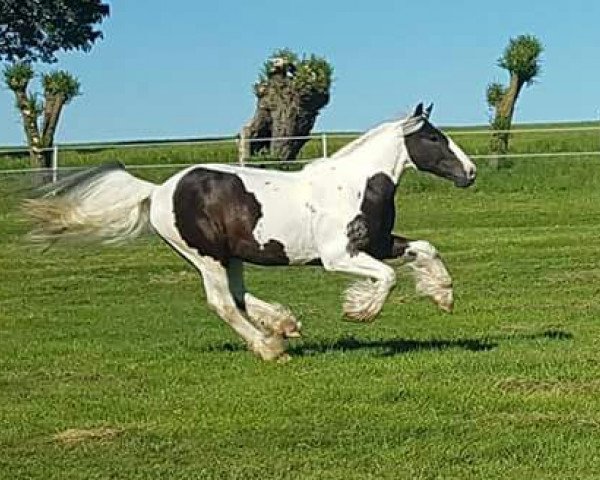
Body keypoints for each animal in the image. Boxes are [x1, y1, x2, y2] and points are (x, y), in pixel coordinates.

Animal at [25, 104, 478, 360]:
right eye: (434, 138)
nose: (470, 173)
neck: (355, 184)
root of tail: (157, 191)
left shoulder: (379, 243)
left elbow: (426, 249)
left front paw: (443, 296)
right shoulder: (339, 257)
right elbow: (385, 279)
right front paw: (359, 310)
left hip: (232, 255)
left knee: (238, 296)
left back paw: (283, 324)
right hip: (205, 256)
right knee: (223, 303)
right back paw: (270, 348)